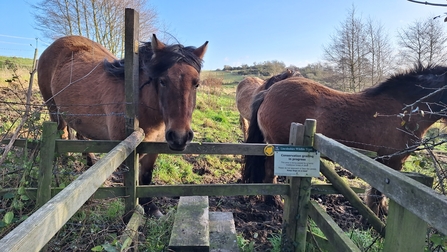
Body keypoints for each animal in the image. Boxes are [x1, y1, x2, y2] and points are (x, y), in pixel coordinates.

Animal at [38, 35, 208, 217]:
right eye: (162, 81)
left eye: (196, 84)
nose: (179, 137)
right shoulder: (127, 151)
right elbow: (130, 184)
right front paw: (131, 213)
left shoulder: (154, 147)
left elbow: (146, 177)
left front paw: (151, 207)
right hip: (54, 111)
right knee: (61, 135)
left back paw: (90, 161)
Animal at [243, 66, 447, 217]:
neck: (405, 110)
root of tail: (269, 92)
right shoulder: (391, 163)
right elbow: (377, 195)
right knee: (270, 174)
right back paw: (274, 201)